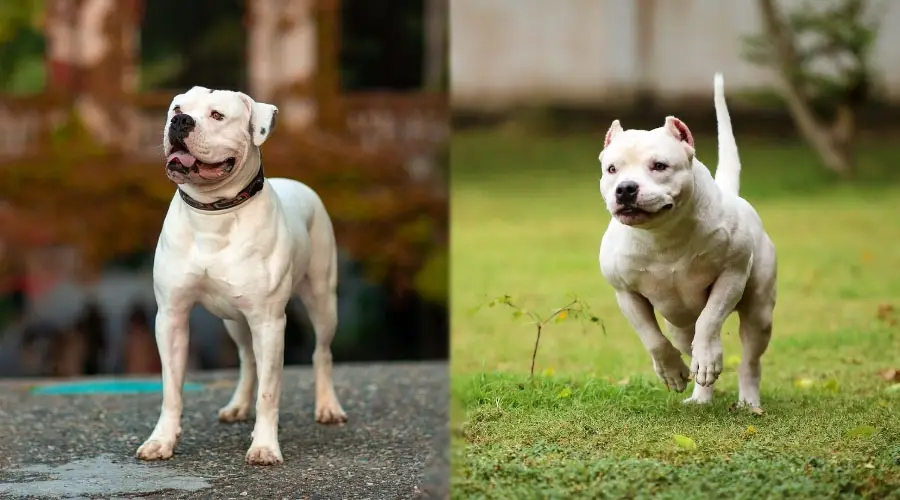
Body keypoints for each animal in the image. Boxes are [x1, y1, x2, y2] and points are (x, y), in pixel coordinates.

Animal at [137, 86, 348, 464]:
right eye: (177, 109)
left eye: (217, 115)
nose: (181, 121)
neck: (213, 212)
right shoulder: (172, 316)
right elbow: (171, 389)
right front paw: (161, 440)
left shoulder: (269, 322)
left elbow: (270, 392)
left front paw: (264, 447)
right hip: (234, 321)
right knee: (248, 360)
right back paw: (237, 406)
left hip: (323, 301)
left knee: (321, 353)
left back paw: (328, 407)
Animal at [596, 75, 772, 410]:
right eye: (612, 169)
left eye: (660, 166)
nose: (625, 188)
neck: (663, 235)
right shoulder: (626, 293)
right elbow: (652, 338)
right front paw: (672, 371)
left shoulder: (731, 275)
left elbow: (710, 320)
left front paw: (707, 358)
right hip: (678, 324)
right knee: (687, 344)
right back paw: (701, 396)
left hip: (760, 312)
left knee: (748, 358)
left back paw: (747, 399)